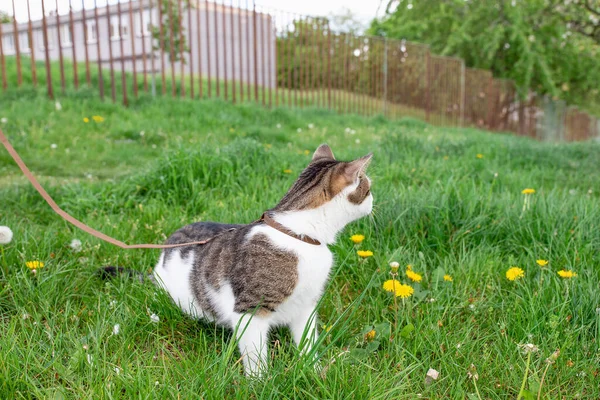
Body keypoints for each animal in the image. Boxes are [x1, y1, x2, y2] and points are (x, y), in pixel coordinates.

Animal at [152, 144, 372, 376]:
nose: (373, 201)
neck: (299, 233)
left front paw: (312, 368)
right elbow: (255, 352)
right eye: (368, 189)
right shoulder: (252, 308)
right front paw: (259, 380)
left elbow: (307, 340)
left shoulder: (306, 303)